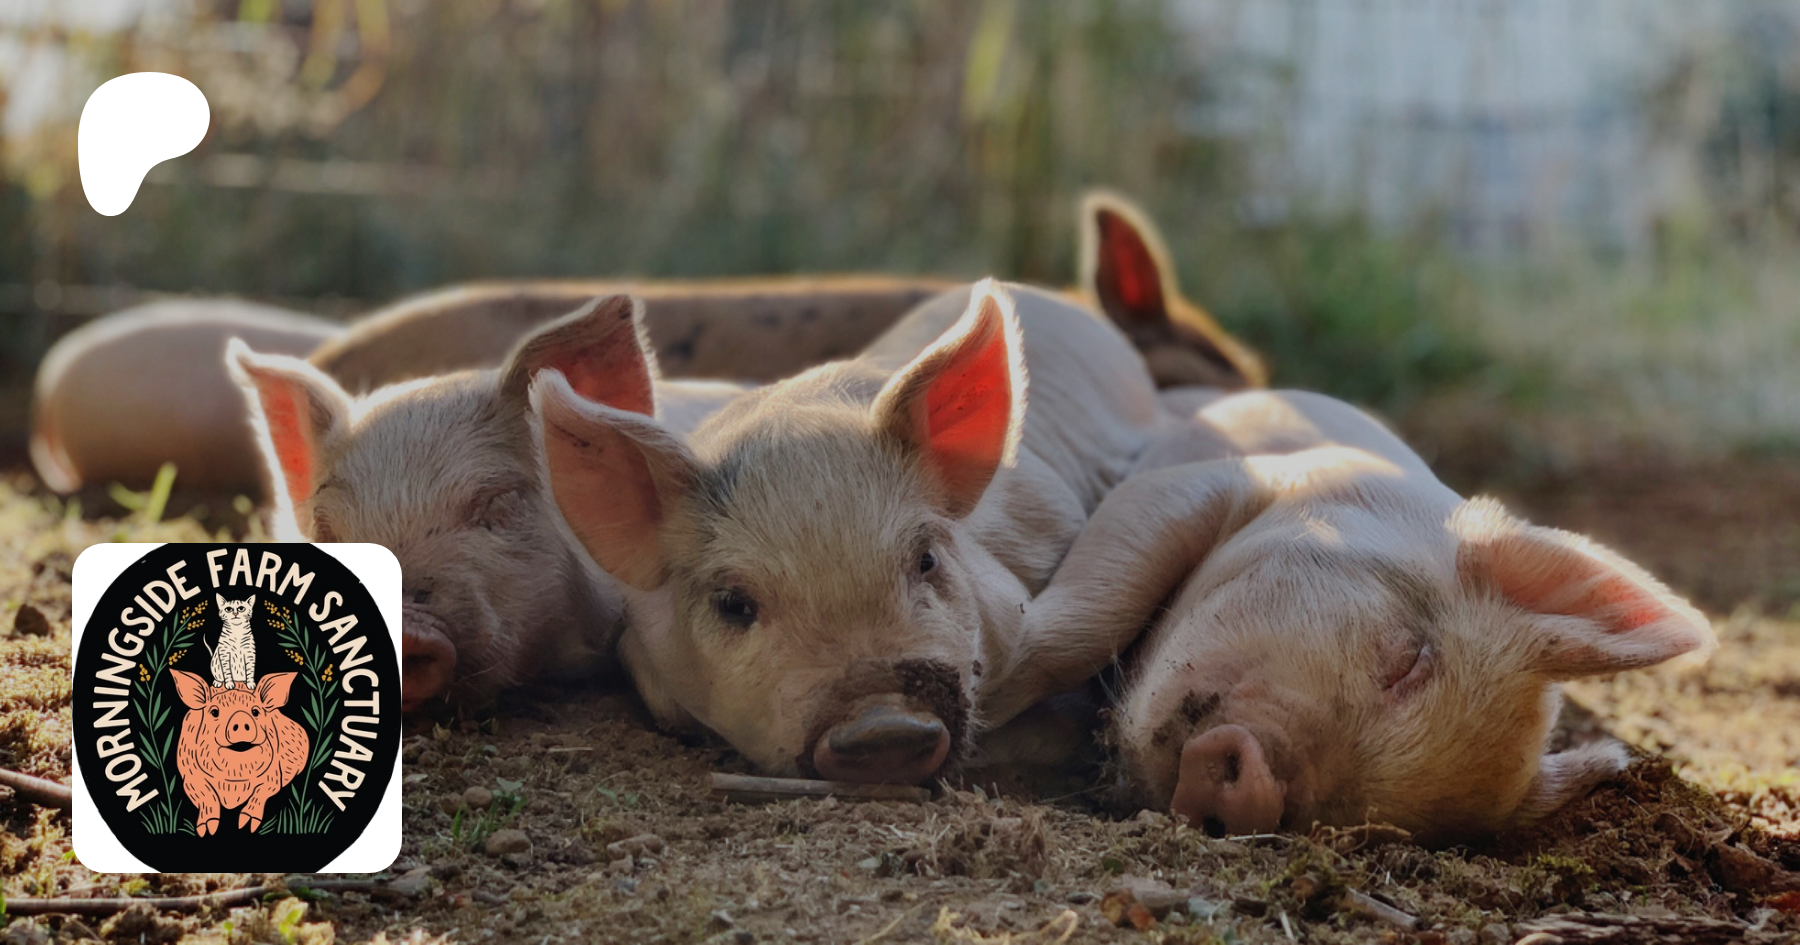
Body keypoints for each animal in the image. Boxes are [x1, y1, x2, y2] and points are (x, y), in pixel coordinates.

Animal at [171, 670, 309, 836]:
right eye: (214, 712)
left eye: (255, 711)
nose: (242, 719)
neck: (234, 780)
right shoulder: (189, 776)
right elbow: (206, 795)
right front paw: (207, 830)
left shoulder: (274, 776)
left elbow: (262, 791)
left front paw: (246, 825)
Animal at [987, 389, 1715, 843]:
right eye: (1411, 658)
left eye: (1360, 824)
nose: (1254, 790)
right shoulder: (1208, 483)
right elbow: (1095, 610)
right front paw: (989, 706)